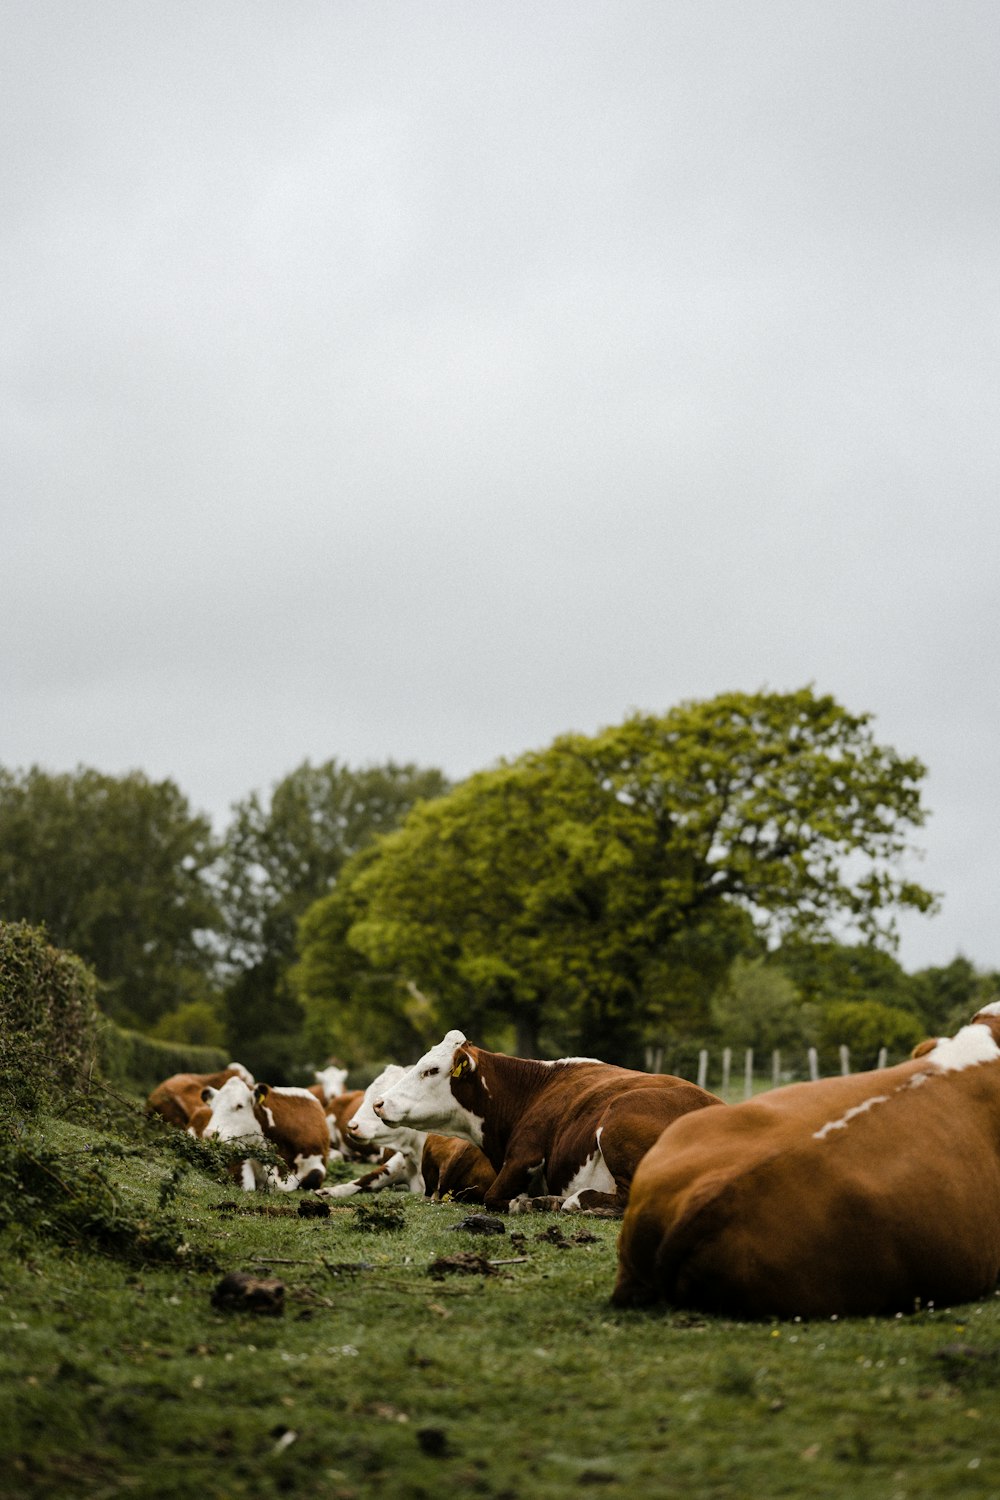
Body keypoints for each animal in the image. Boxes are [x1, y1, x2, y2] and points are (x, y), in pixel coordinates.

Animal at [371, 1026, 722, 1212]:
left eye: (431, 1070)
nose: (379, 1103)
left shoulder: (524, 1156)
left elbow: (493, 1197)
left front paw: (524, 1203)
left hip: (617, 1119)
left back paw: (568, 1201)